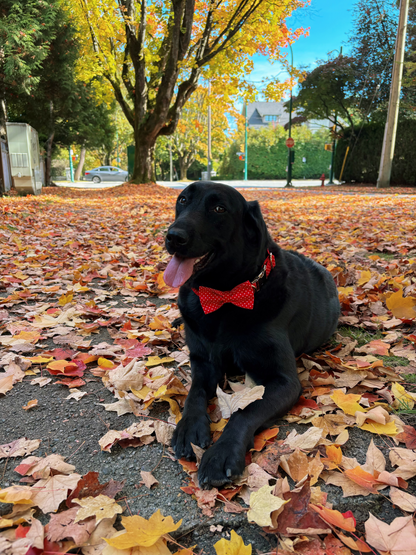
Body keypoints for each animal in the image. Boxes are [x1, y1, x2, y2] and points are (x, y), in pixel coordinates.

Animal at [162, 181, 338, 486]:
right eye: (182, 200)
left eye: (219, 208)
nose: (173, 236)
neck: (223, 297)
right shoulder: (202, 361)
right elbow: (195, 392)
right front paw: (188, 428)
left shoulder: (284, 381)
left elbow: (247, 411)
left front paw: (221, 454)